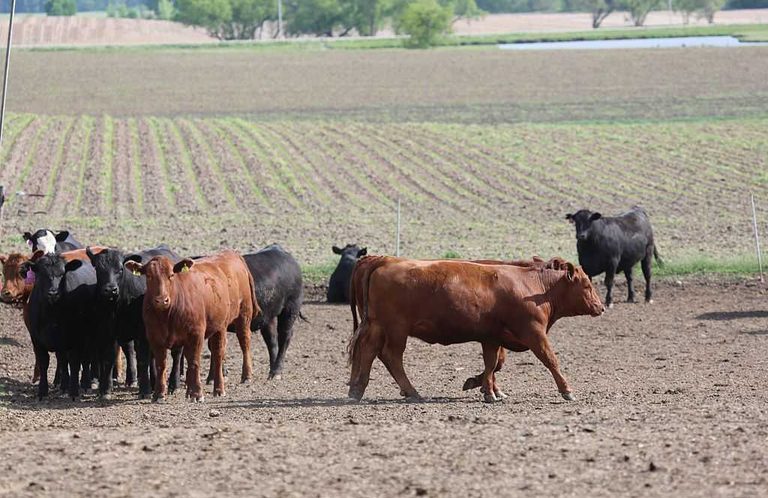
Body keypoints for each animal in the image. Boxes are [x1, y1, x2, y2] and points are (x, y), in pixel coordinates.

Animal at [88, 245, 185, 398]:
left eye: (120, 269)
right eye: (98, 268)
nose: (110, 289)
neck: (120, 304)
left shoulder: (142, 332)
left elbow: (143, 359)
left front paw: (145, 390)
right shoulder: (108, 330)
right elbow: (109, 358)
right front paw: (105, 389)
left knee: (176, 354)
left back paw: (173, 385)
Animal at [125, 250, 259, 402]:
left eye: (171, 275)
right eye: (148, 276)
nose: (162, 300)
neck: (168, 314)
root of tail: (231, 253)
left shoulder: (196, 334)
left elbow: (194, 362)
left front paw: (197, 393)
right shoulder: (154, 337)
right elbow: (161, 364)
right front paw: (159, 394)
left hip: (240, 316)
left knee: (231, 348)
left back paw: (232, 382)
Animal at [347, 258, 604, 403]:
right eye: (587, 285)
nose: (601, 307)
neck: (534, 287)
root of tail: (383, 261)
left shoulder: (492, 337)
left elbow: (491, 364)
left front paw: (488, 391)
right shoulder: (534, 332)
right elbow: (550, 359)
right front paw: (567, 390)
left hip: (378, 325)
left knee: (369, 352)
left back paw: (359, 390)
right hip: (396, 328)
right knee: (390, 356)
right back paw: (409, 391)